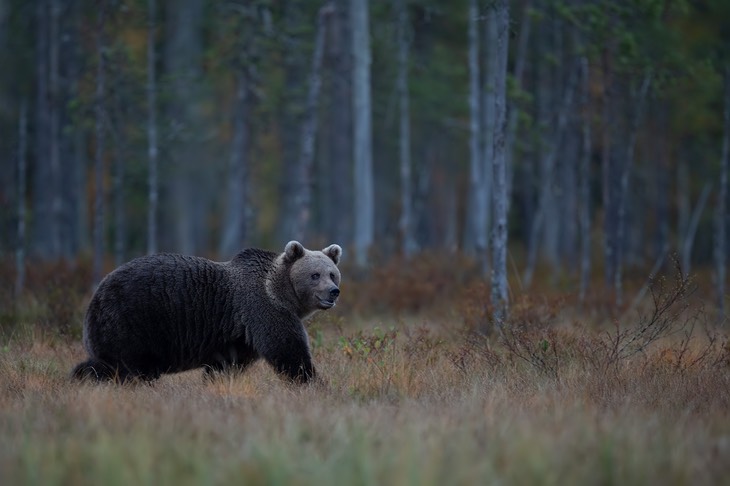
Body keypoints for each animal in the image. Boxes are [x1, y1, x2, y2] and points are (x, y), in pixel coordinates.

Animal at [70, 239, 342, 384]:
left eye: (332, 274)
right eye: (315, 275)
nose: (333, 291)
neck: (282, 293)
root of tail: (96, 296)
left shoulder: (239, 337)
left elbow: (226, 364)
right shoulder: (264, 310)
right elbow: (288, 350)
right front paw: (314, 382)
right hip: (134, 319)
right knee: (129, 366)